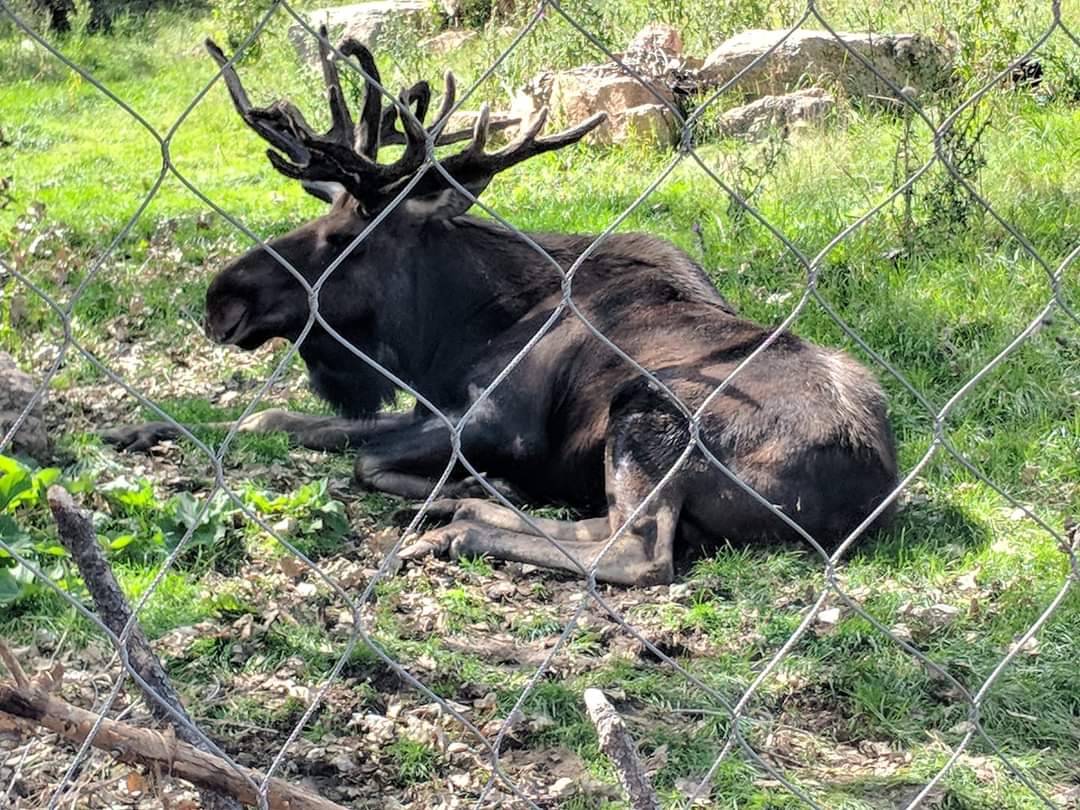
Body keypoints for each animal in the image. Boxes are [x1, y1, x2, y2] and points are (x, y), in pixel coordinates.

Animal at [104, 30, 900, 586]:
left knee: (638, 550)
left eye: (344, 235)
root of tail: (869, 492)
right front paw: (134, 428)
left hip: (649, 412)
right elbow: (273, 420)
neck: (445, 334)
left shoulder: (496, 422)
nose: (221, 298)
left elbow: (363, 459)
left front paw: (462, 485)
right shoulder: (431, 405)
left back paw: (467, 518)